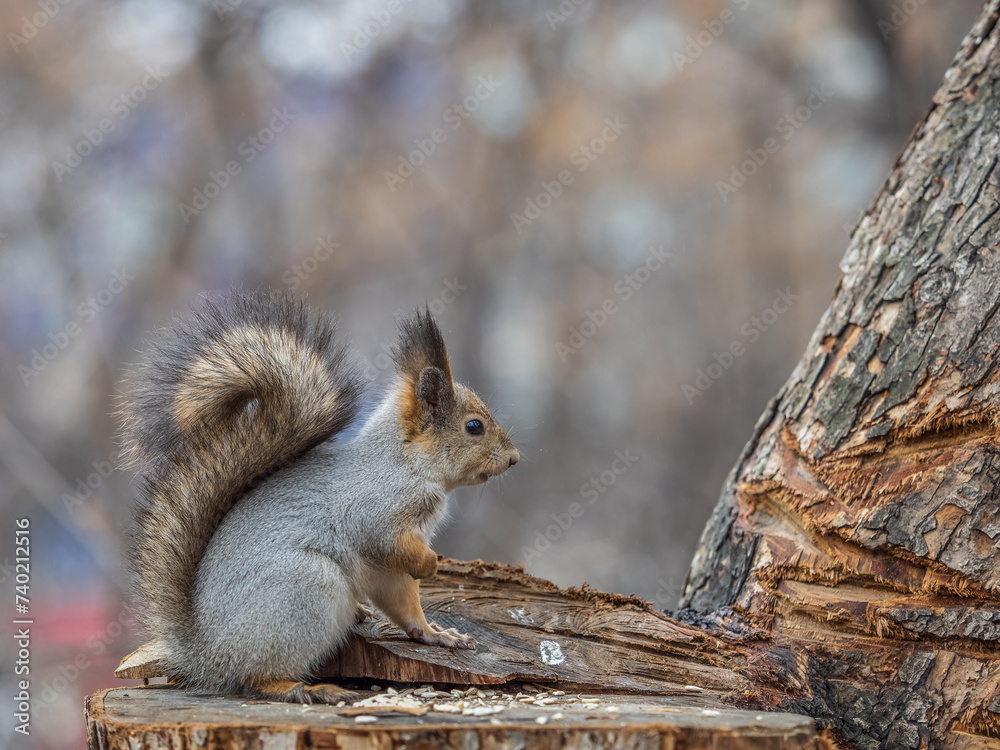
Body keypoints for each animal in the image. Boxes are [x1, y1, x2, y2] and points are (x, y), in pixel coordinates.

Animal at [119, 290, 519, 704]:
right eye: (474, 427)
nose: (514, 458)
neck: (404, 462)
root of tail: (206, 654)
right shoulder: (374, 513)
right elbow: (387, 543)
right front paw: (431, 565)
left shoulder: (389, 572)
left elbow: (406, 606)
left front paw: (438, 635)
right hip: (307, 592)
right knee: (255, 677)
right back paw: (308, 689)